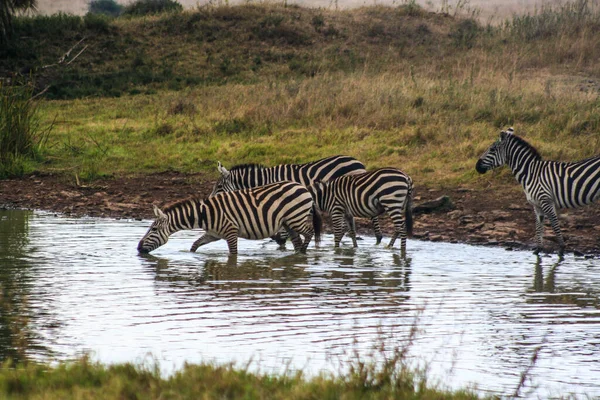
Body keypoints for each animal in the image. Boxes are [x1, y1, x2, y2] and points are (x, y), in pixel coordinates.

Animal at [138, 180, 322, 255]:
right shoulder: (214, 234)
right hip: (289, 222)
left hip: (296, 218)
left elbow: (233, 254)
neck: (205, 214)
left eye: (153, 229)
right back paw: (297, 255)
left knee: (310, 232)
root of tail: (303, 187)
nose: (138, 248)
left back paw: (304, 252)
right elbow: (194, 245)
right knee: (297, 240)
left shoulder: (231, 232)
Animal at [190, 155, 370, 252]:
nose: (209, 202)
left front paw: (281, 240)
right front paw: (281, 242)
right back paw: (354, 247)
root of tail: (358, 162)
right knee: (350, 223)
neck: (265, 180)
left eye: (219, 187)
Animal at [478, 126, 600, 255]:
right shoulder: (537, 205)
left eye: (492, 149)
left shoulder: (546, 200)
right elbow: (539, 226)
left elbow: (554, 225)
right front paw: (538, 250)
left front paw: (561, 249)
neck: (531, 173)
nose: (477, 167)